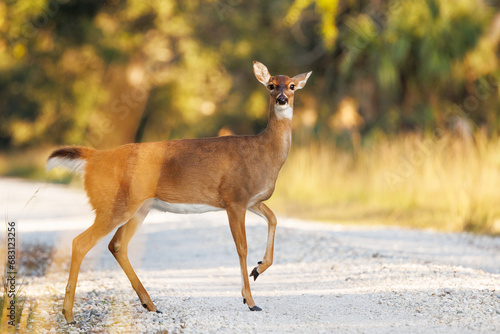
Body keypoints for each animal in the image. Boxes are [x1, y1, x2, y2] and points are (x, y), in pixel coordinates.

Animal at [47, 61, 312, 322]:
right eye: (270, 85)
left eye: (291, 86)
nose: (281, 99)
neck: (264, 153)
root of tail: (93, 157)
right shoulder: (234, 198)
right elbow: (242, 247)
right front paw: (250, 300)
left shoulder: (252, 201)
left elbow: (274, 219)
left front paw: (258, 269)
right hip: (113, 204)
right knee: (80, 242)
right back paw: (68, 314)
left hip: (139, 206)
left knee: (117, 245)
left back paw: (150, 304)